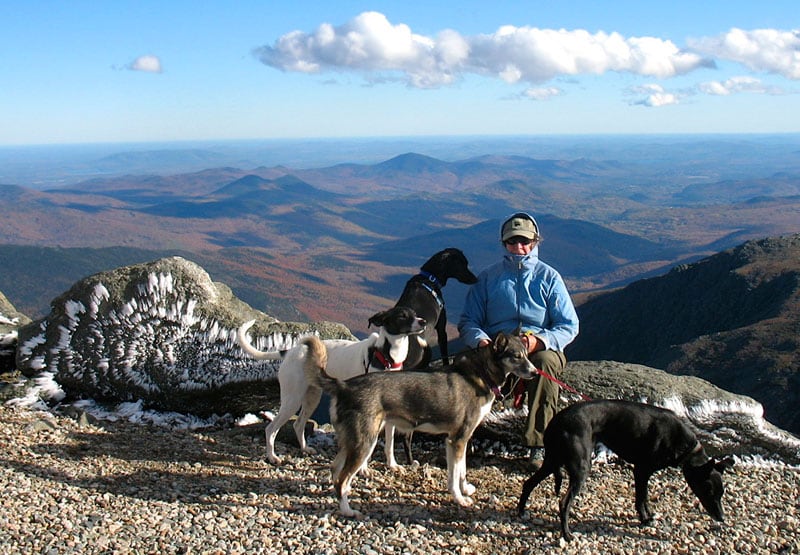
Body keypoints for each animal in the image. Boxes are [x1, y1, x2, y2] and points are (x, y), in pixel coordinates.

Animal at [236, 306, 424, 466]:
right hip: (292, 400)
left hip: (312, 397)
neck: (386, 356)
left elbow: (390, 444)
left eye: (415, 313)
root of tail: (291, 351)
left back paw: (305, 448)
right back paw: (272, 457)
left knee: (298, 424)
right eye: (402, 316)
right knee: (271, 429)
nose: (423, 321)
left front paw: (392, 465)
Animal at [516, 400, 736, 544]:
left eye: (721, 493)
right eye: (708, 490)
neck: (685, 446)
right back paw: (567, 534)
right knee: (563, 502)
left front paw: (648, 516)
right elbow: (641, 498)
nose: (722, 518)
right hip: (580, 468)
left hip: (552, 462)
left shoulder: (643, 473)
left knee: (529, 483)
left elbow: (643, 497)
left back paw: (521, 512)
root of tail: (556, 422)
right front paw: (645, 519)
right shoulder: (641, 470)